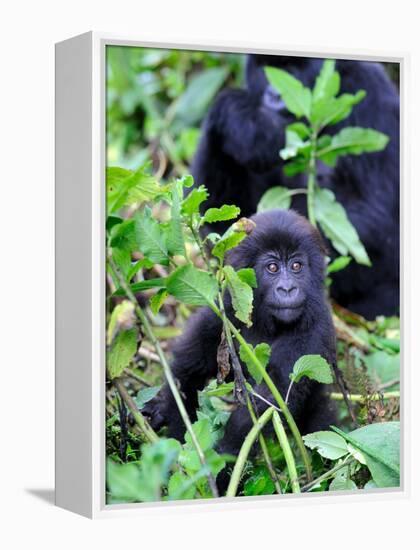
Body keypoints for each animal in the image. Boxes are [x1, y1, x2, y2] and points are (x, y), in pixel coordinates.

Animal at [146, 211, 336, 474]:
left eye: (296, 266)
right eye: (272, 267)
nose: (287, 288)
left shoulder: (314, 327)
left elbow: (269, 403)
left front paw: (222, 459)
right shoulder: (222, 312)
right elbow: (188, 372)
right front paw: (166, 408)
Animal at [192, 54, 398, 322]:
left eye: (293, 71)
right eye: (266, 70)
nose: (274, 94)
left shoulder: (372, 99)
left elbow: (375, 218)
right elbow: (218, 218)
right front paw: (238, 116)